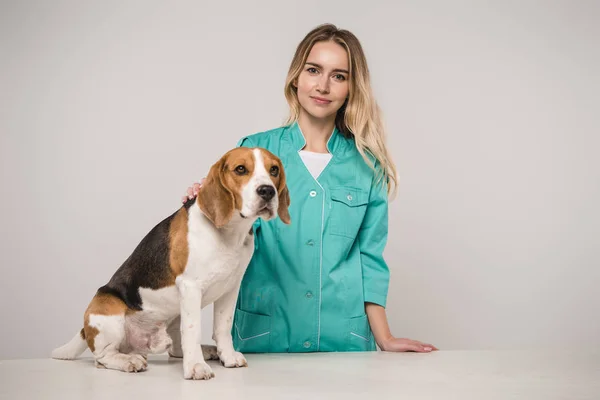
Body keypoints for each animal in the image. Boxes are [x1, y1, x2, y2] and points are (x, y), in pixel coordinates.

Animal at [51, 148, 290, 382]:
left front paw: (228, 357)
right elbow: (192, 331)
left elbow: (223, 326)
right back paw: (129, 361)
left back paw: (205, 351)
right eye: (240, 169)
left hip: (175, 315)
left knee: (175, 348)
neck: (229, 232)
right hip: (109, 309)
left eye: (274, 170)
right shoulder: (191, 286)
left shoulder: (230, 288)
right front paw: (195, 367)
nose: (267, 191)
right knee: (102, 358)